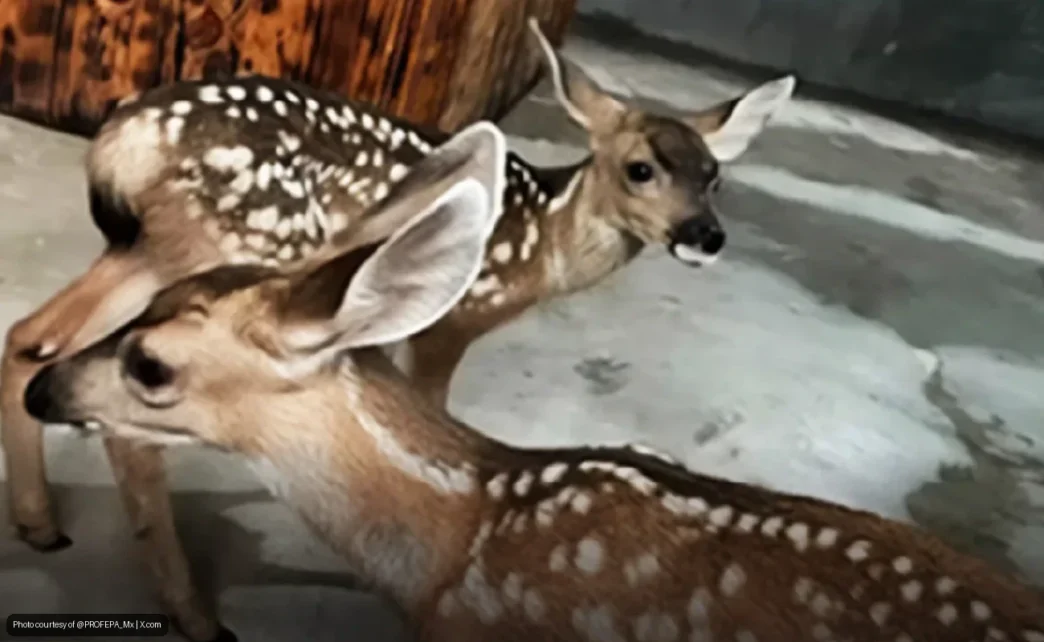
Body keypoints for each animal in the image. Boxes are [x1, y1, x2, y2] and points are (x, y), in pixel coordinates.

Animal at [1, 19, 796, 641]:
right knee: (124, 420)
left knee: (31, 338)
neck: (546, 245)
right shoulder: (455, 318)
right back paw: (195, 616)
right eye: (640, 169)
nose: (705, 235)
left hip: (150, 249)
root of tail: (124, 138)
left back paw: (40, 524)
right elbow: (428, 414)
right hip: (237, 242)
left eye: (714, 176)